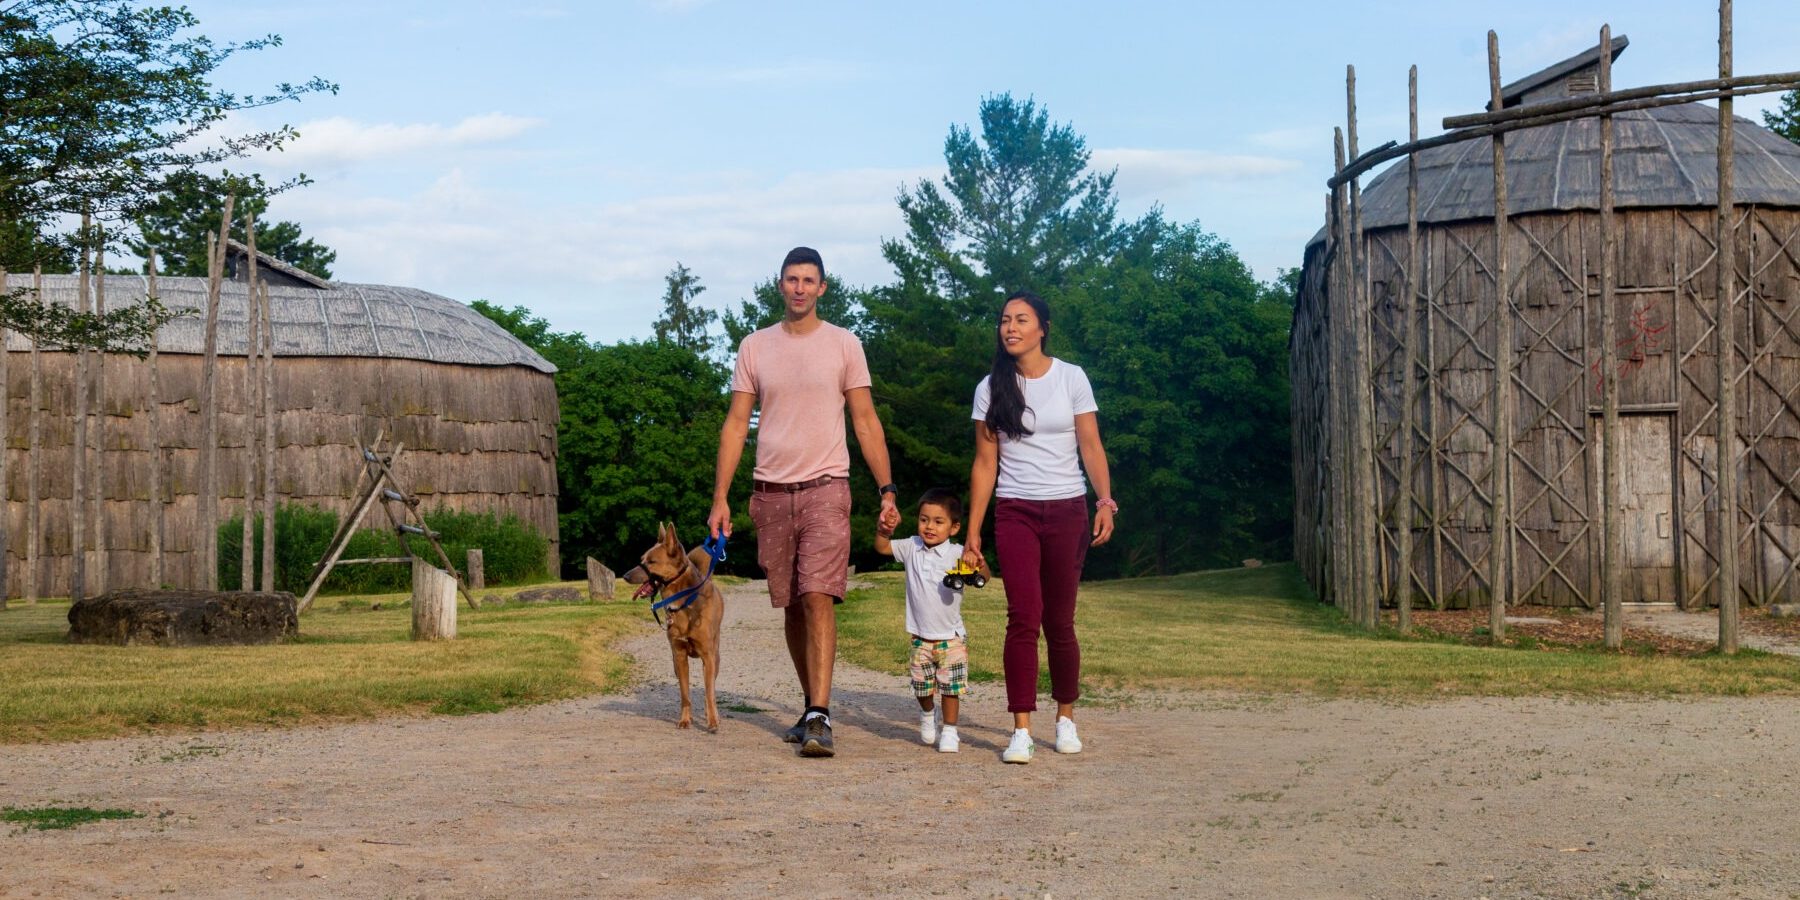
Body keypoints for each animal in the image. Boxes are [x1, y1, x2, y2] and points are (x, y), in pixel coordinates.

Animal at [626, 525, 723, 727]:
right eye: (642, 559)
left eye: (652, 561)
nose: (625, 576)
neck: (684, 604)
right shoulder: (679, 657)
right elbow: (685, 694)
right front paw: (685, 719)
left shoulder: (708, 657)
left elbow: (709, 692)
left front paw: (712, 720)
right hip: (675, 663)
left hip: (715, 658)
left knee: (710, 689)